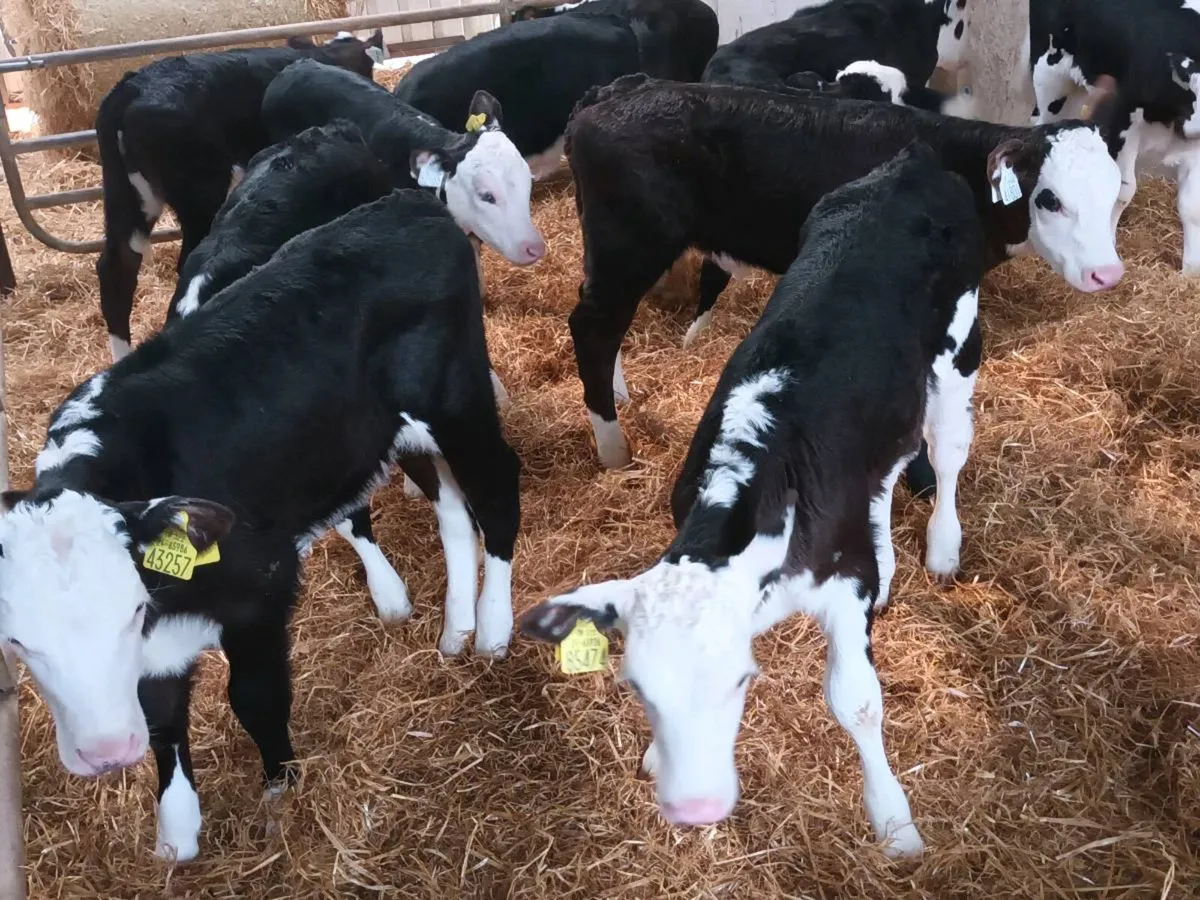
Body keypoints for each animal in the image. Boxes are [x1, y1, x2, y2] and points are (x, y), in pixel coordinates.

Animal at [0, 189, 521, 862]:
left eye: (130, 611)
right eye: (17, 641)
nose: (106, 754)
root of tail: (408, 202)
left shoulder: (262, 586)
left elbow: (254, 696)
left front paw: (280, 790)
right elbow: (162, 718)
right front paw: (177, 828)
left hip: (458, 404)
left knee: (497, 490)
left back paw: (493, 629)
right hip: (392, 432)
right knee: (454, 510)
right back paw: (455, 626)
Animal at [521, 141, 986, 855]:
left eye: (741, 680)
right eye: (638, 688)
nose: (694, 807)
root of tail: (910, 160)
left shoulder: (845, 583)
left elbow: (856, 700)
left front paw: (894, 821)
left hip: (961, 348)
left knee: (950, 449)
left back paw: (942, 547)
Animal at [564, 75, 1124, 472]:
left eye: (1114, 192)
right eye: (1049, 198)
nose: (1107, 274)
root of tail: (612, 93)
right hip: (631, 245)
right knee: (592, 327)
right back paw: (614, 449)